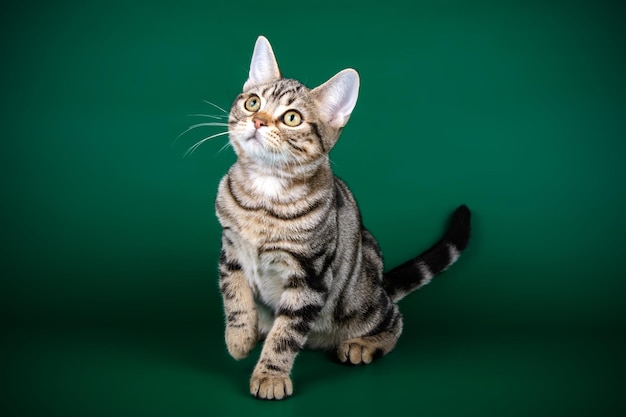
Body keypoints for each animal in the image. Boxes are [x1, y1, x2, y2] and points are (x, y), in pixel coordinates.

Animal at [214, 36, 468, 400]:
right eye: (252, 102)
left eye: (292, 118)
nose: (259, 120)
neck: (264, 194)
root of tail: (380, 284)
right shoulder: (231, 250)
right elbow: (234, 297)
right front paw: (238, 338)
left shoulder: (310, 276)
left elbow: (286, 334)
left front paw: (270, 374)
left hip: (358, 303)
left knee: (395, 318)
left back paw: (364, 344)